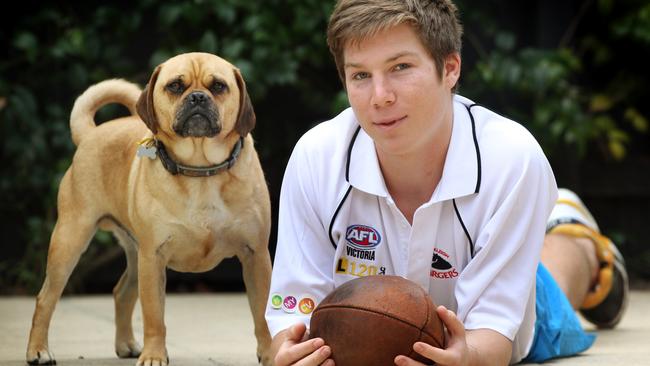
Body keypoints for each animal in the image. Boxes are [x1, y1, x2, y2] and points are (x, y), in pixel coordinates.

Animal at [25, 52, 272, 366]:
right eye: (175, 86)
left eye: (218, 86)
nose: (198, 98)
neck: (200, 169)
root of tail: (91, 134)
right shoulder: (153, 257)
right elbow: (154, 316)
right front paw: (154, 355)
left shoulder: (256, 254)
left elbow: (263, 313)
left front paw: (272, 353)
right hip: (70, 241)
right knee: (45, 298)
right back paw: (38, 350)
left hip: (133, 254)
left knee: (121, 293)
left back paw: (127, 345)